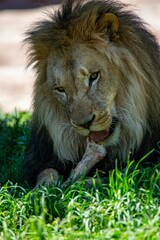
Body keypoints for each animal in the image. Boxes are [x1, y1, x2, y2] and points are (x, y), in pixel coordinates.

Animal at [23, 0, 160, 188]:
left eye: (94, 76)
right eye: (60, 89)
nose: (85, 124)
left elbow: (112, 177)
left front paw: (77, 185)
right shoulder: (42, 158)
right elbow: (46, 173)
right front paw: (42, 191)